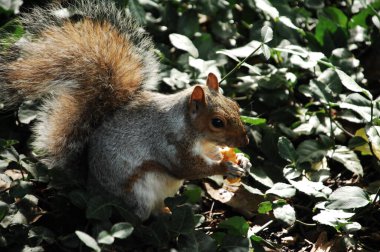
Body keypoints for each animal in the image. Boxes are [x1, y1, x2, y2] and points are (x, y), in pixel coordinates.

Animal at [0, 0, 251, 220]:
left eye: (236, 106)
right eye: (217, 122)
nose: (245, 142)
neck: (193, 131)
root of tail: (91, 188)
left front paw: (241, 160)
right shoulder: (169, 143)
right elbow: (187, 168)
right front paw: (225, 166)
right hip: (136, 197)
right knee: (138, 219)